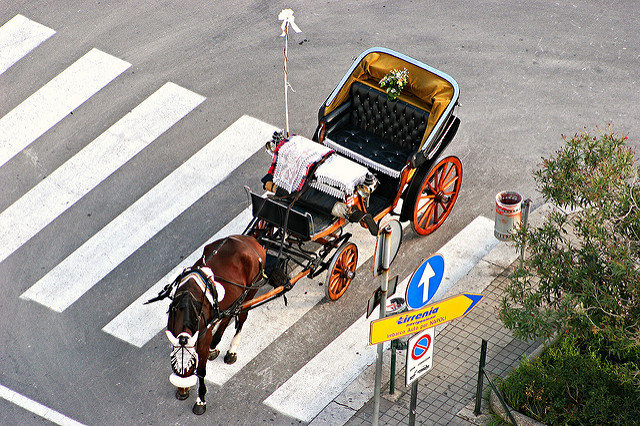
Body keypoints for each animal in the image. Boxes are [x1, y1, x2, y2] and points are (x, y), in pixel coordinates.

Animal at [165, 235, 268, 414]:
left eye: (191, 363)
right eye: (174, 362)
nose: (182, 391)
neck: (188, 304)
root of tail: (251, 241)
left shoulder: (202, 339)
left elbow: (201, 371)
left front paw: (200, 400)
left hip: (250, 292)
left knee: (241, 317)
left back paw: (232, 350)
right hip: (234, 298)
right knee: (228, 315)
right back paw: (215, 344)